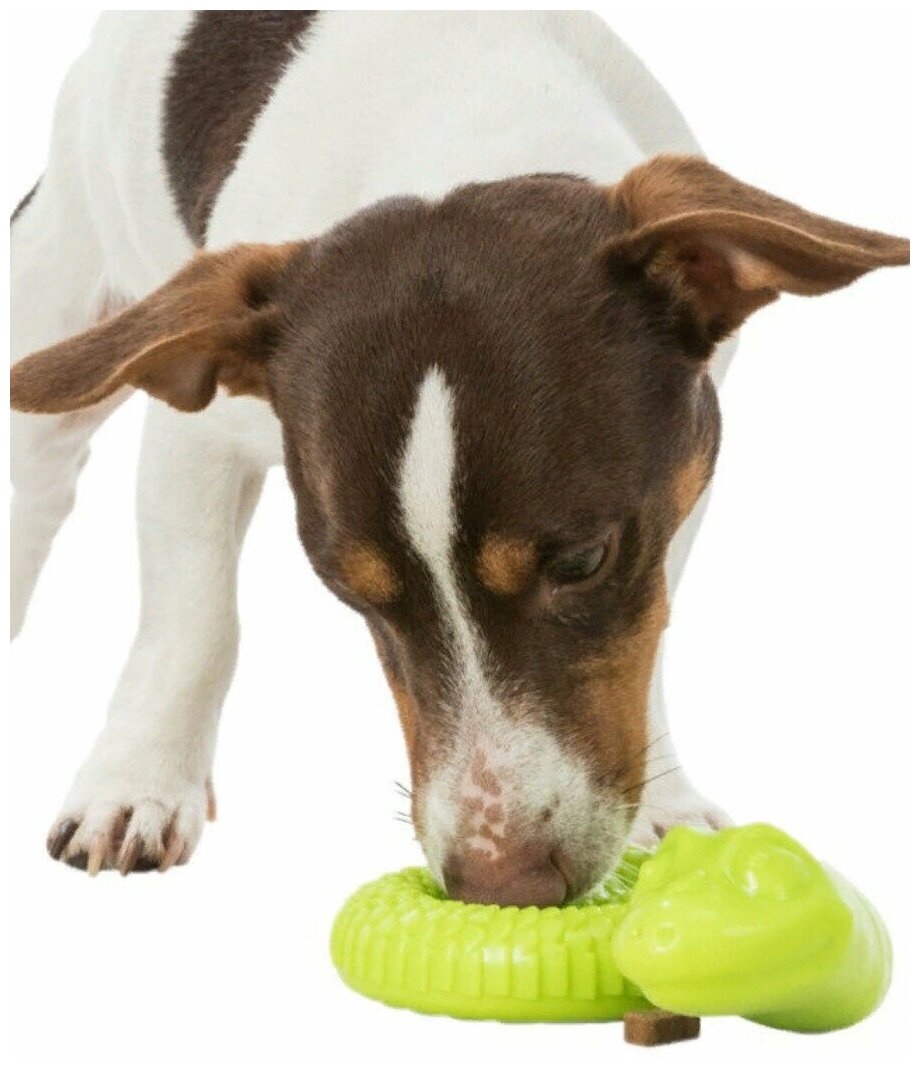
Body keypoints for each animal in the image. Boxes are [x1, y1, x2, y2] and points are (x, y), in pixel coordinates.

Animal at [10, 11, 909, 903]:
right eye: (350, 589)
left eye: (582, 562)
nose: (502, 884)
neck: (463, 112)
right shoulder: (197, 436)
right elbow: (195, 623)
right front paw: (139, 782)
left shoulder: (687, 471)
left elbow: (648, 624)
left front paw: (664, 800)